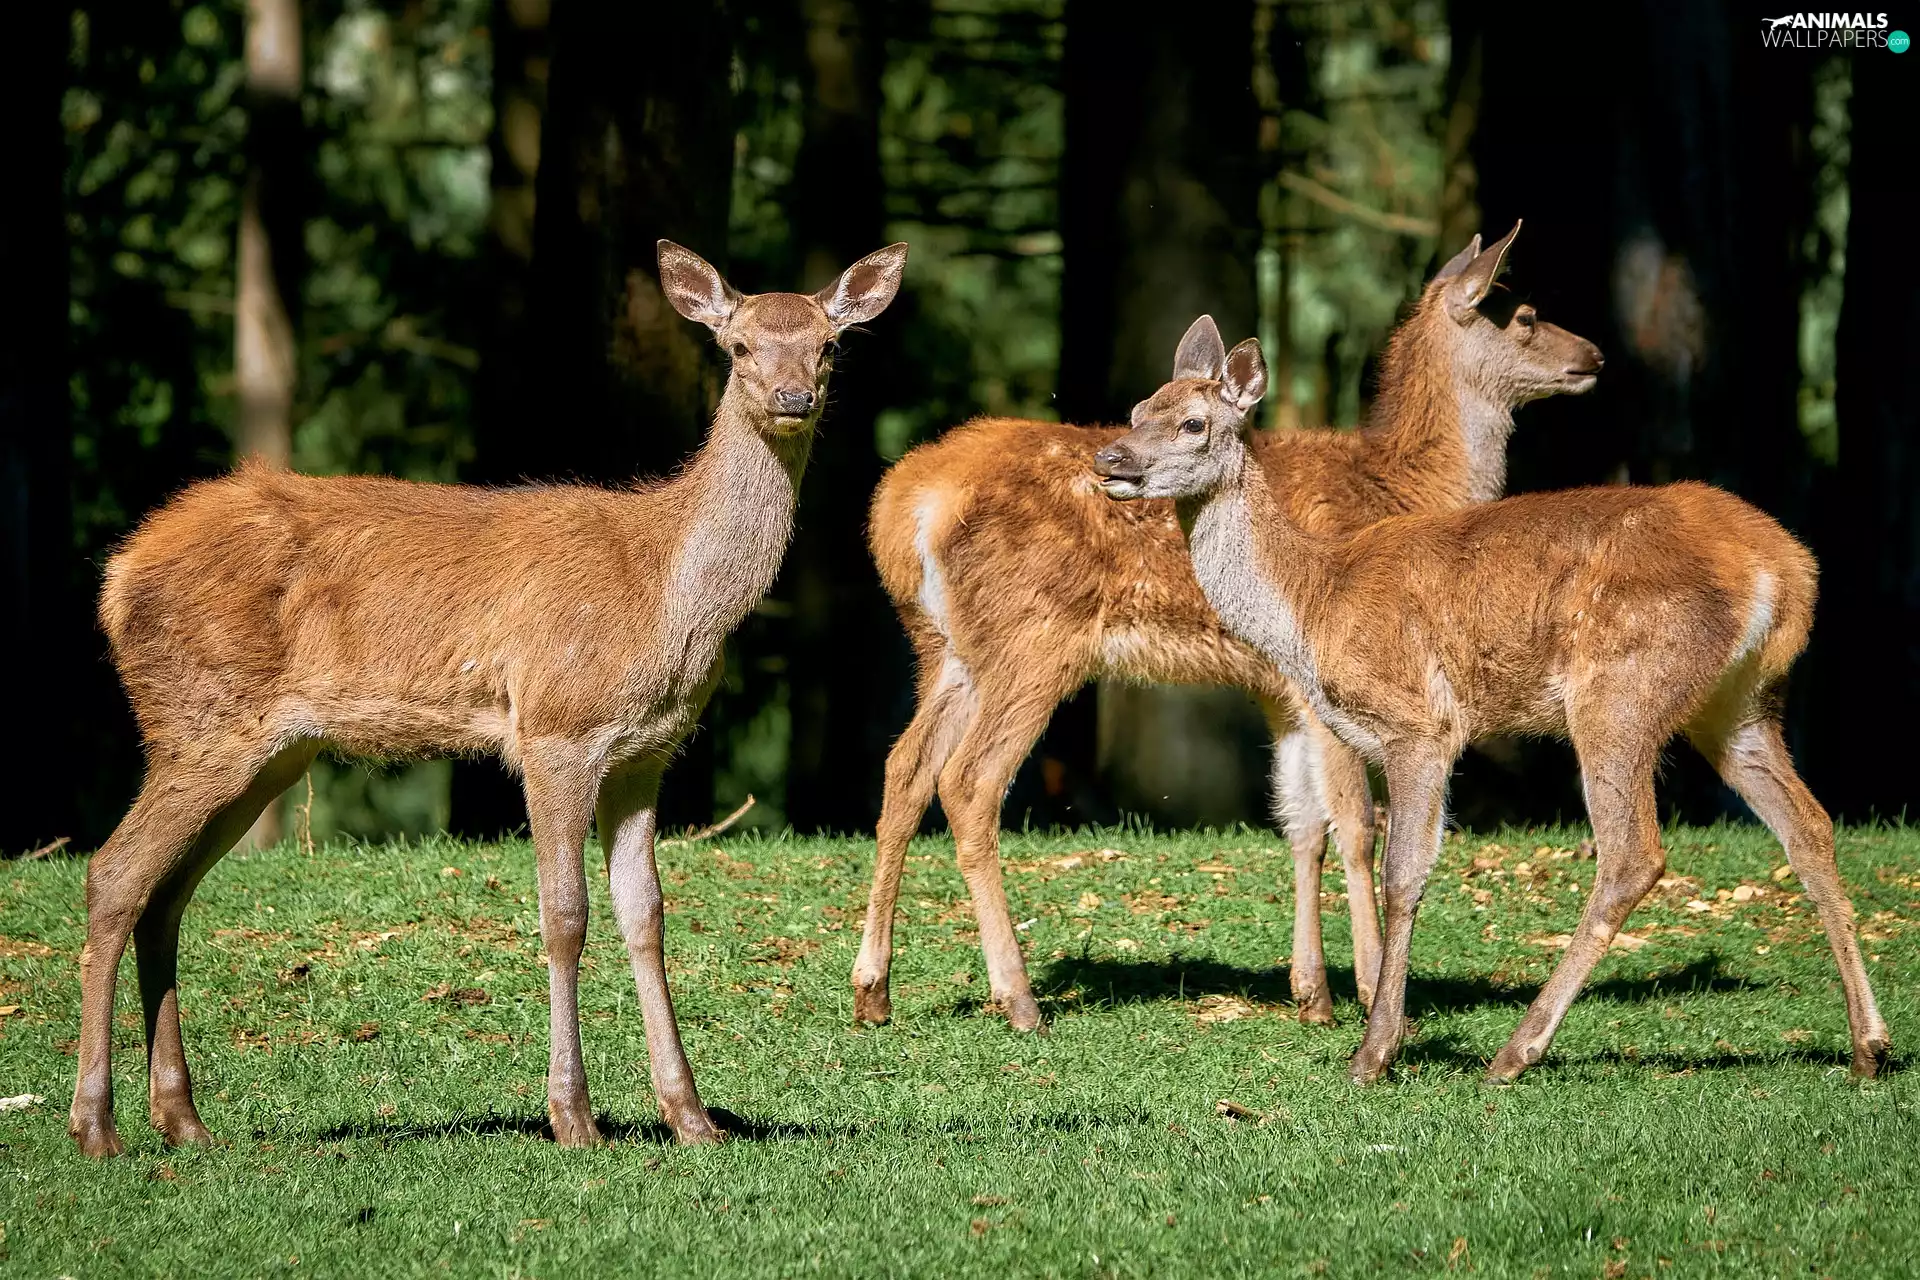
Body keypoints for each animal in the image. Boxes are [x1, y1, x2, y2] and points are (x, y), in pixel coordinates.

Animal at [67, 239, 909, 1158]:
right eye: (740, 345)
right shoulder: (556, 727)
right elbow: (565, 915)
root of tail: (115, 576)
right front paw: (573, 1117)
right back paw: (96, 1125)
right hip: (201, 720)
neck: (668, 595)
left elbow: (647, 916)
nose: (794, 398)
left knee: (166, 894)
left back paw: (183, 1120)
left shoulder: (647, 753)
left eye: (828, 346)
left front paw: (692, 1117)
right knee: (114, 873)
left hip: (266, 752)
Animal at [853, 224, 1602, 1032]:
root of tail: (906, 503)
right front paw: (1372, 986)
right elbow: (1356, 825)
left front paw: (1313, 993)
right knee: (969, 781)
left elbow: (1301, 823)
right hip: (1034, 639)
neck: (1409, 487)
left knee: (903, 769)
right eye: (1524, 314)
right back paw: (1017, 998)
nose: (1593, 355)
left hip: (944, 649)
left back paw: (873, 991)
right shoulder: (1328, 675)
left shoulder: (1278, 689)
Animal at [1090, 317, 1892, 1084]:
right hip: (1739, 703)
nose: (1110, 461)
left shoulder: (1420, 722)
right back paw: (1869, 1047)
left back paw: (1515, 1053)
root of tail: (1786, 569)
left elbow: (1404, 872)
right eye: (1135, 411)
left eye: (1193, 422)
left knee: (1633, 855)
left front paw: (1376, 1051)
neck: (1311, 602)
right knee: (1808, 827)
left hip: (1622, 689)